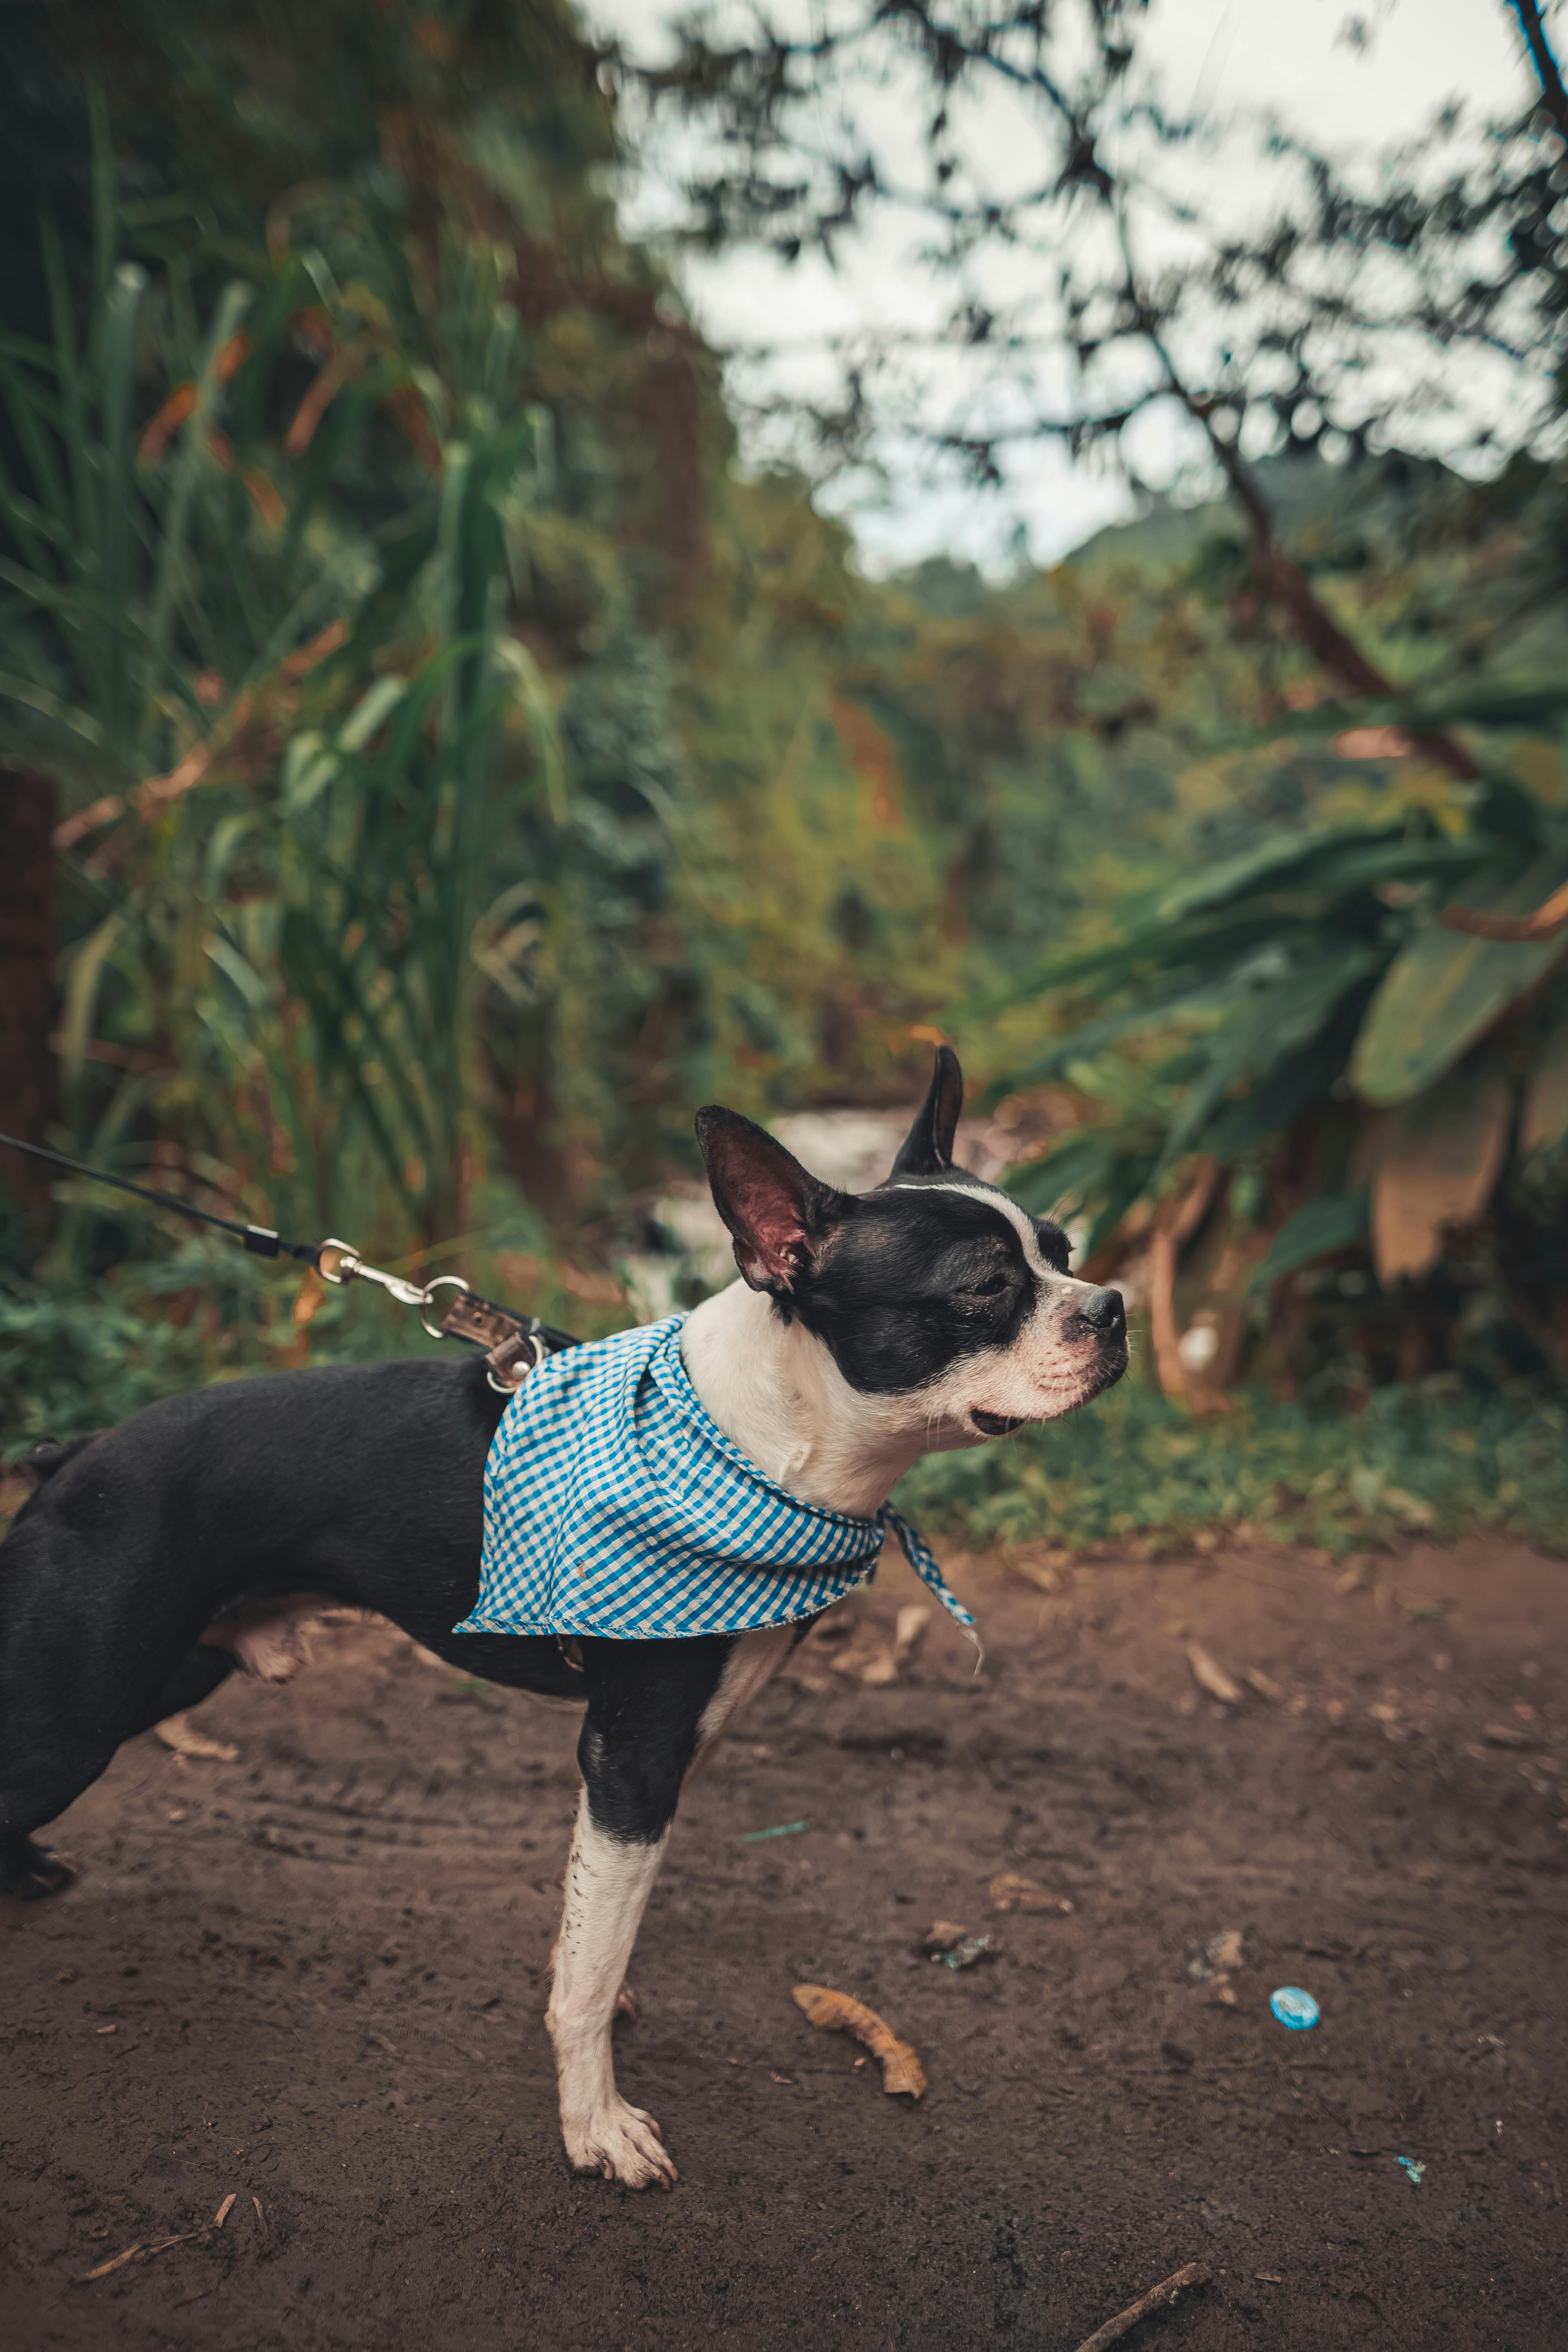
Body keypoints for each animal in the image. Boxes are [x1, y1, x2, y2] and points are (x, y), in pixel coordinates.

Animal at [0, 1049, 1128, 2183]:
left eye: (1067, 1252)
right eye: (984, 1287)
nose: (1114, 1305)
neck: (761, 1440)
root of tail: (73, 1453)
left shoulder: (679, 1746)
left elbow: (594, 1923)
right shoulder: (630, 1755)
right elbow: (589, 1970)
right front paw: (595, 2123)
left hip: (162, 1673)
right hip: (73, 1715)